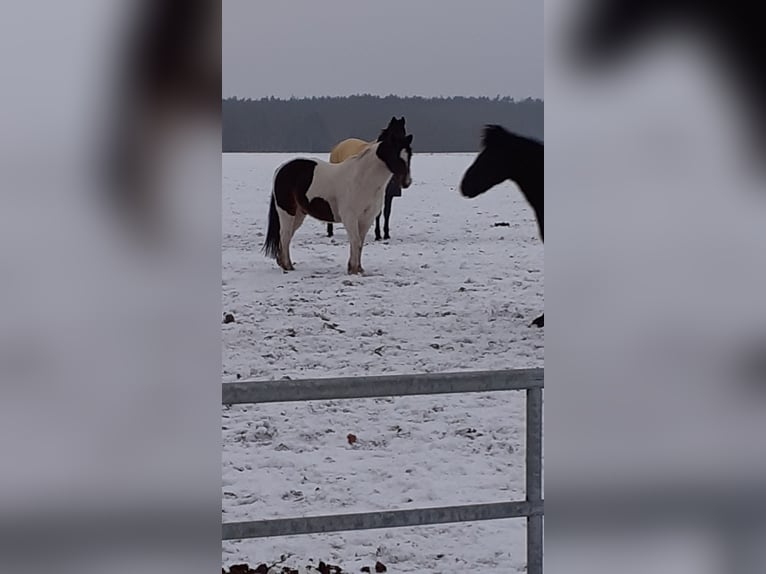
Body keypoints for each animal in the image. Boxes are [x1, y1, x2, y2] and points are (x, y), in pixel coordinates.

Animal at [262, 126, 413, 274]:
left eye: (409, 156)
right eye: (395, 155)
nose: (406, 182)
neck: (362, 180)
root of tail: (282, 168)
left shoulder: (367, 218)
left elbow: (360, 243)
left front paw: (358, 268)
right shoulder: (350, 217)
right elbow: (355, 241)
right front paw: (353, 269)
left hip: (298, 214)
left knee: (287, 237)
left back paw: (283, 263)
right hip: (287, 211)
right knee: (285, 235)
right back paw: (287, 266)